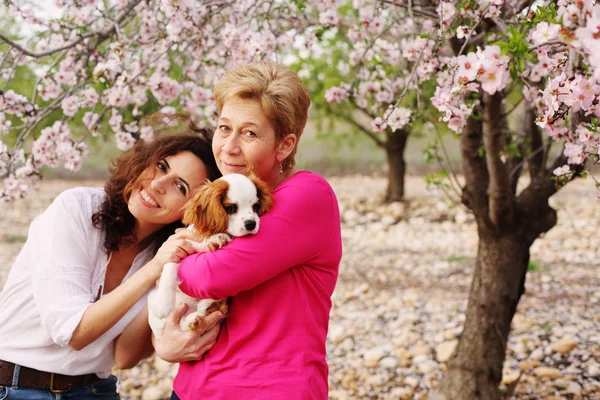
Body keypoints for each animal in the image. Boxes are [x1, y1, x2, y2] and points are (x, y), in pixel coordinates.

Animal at [149, 173, 274, 336]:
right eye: (231, 207)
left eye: (256, 206)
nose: (251, 224)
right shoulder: (179, 246)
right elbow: (169, 267)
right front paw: (163, 302)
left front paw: (216, 239)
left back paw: (198, 316)